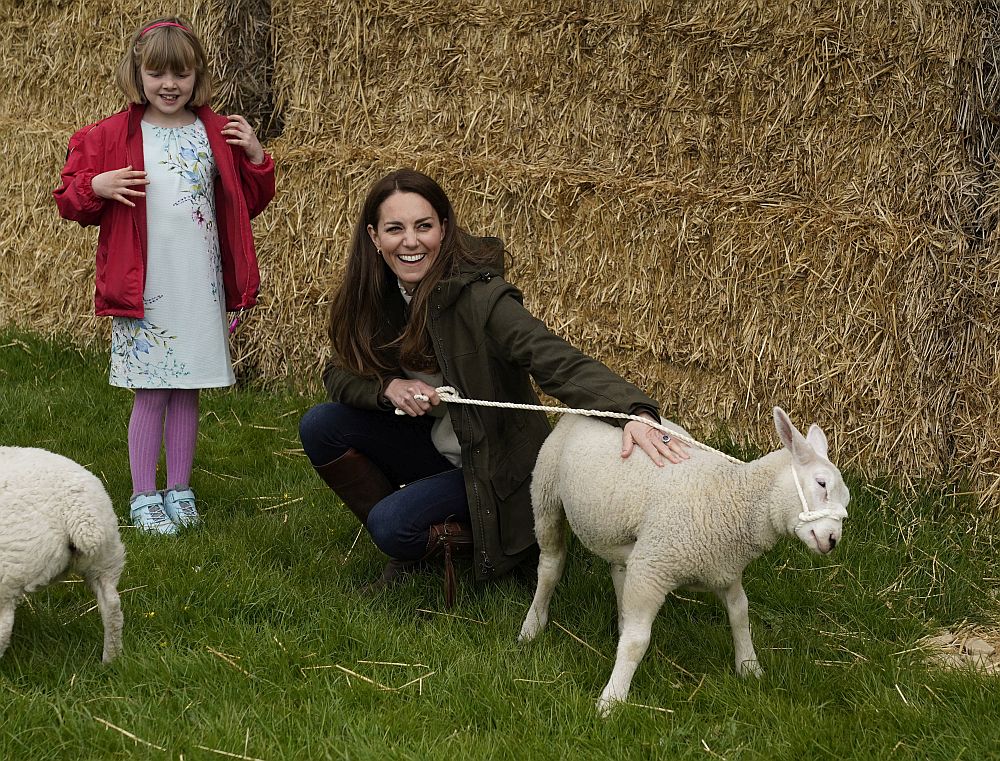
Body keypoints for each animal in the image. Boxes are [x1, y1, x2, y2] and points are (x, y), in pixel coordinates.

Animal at [0, 446, 126, 660]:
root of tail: (79, 514)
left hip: (8, 573)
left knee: (3, 628)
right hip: (106, 557)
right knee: (112, 607)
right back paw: (111, 659)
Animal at [516, 410, 852, 712]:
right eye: (821, 484)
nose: (832, 540)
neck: (731, 499)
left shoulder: (724, 570)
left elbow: (740, 613)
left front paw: (749, 667)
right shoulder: (653, 568)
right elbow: (637, 642)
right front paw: (612, 700)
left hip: (620, 534)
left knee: (618, 568)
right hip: (545, 492)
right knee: (551, 565)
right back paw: (532, 626)